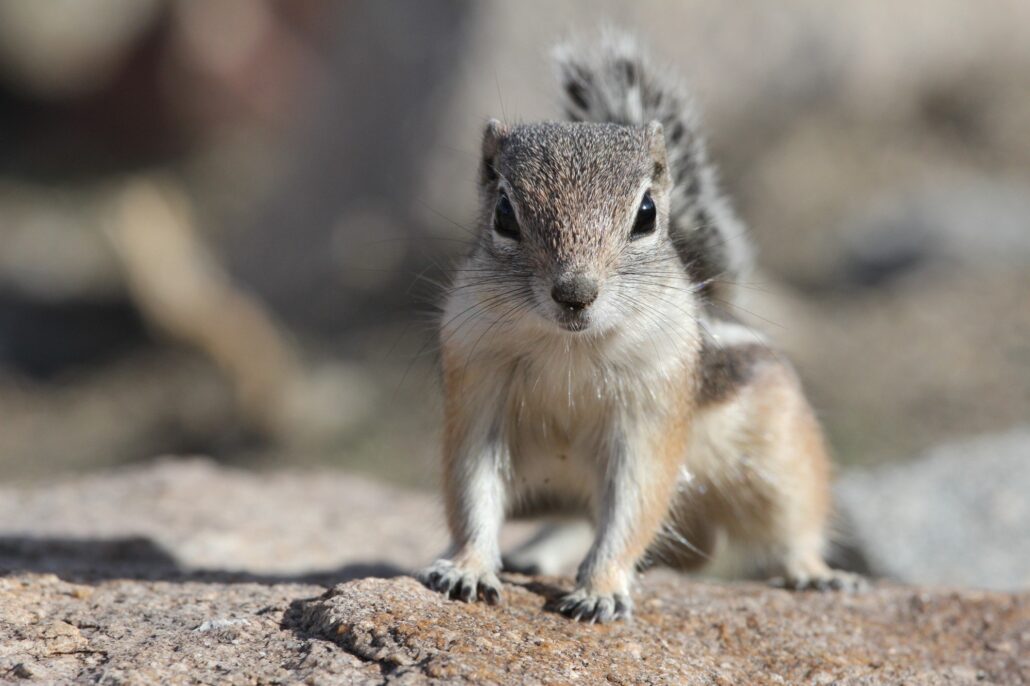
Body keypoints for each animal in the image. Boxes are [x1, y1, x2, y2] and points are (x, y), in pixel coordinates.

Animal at [418, 32, 861, 618]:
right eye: (505, 215)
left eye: (646, 214)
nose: (575, 293)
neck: (568, 349)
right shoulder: (478, 389)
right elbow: (472, 491)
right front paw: (467, 567)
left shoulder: (651, 409)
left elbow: (635, 504)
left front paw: (600, 589)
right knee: (573, 520)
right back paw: (533, 554)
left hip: (781, 458)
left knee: (791, 528)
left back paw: (816, 574)